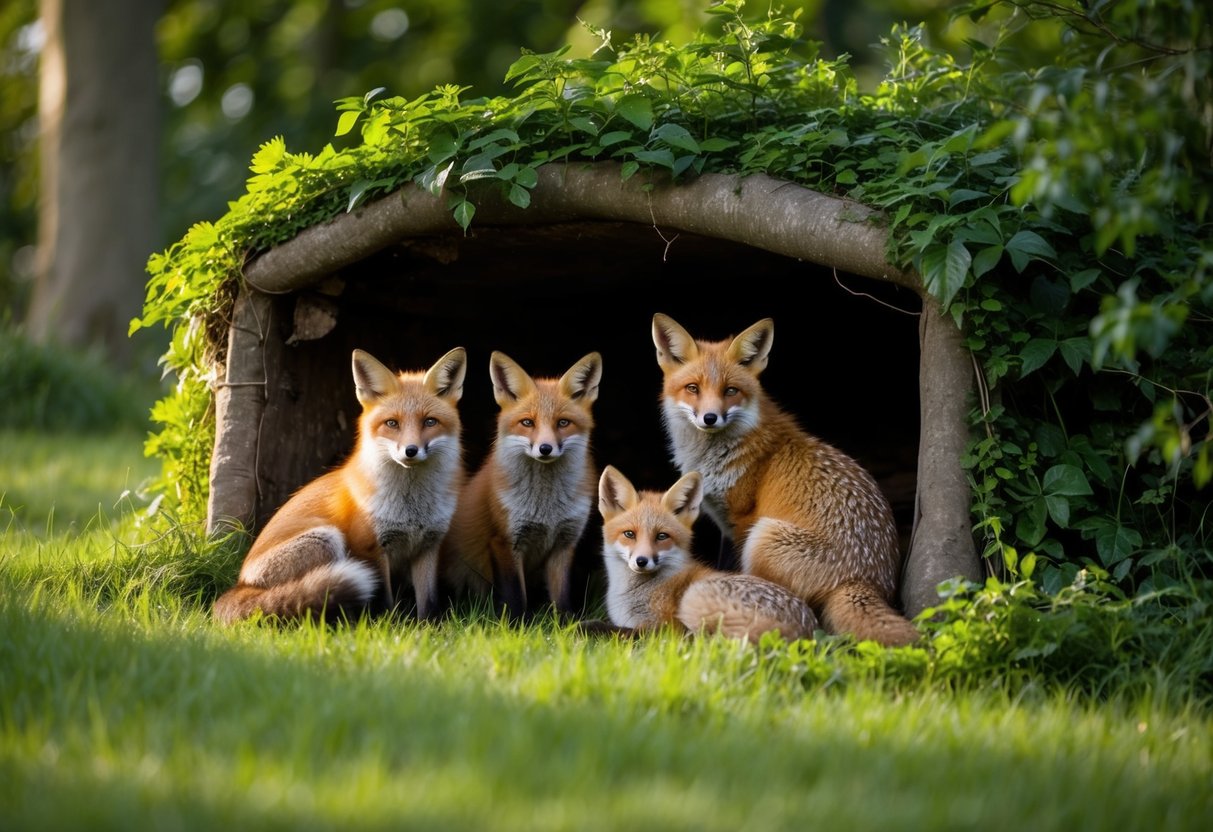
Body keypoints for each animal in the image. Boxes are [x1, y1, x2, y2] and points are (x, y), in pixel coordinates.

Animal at [213, 347, 467, 625]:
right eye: (392, 423)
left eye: (430, 422)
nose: (411, 451)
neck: (412, 508)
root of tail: (241, 583)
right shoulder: (370, 546)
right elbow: (384, 600)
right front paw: (385, 626)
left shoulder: (428, 545)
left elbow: (429, 602)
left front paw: (428, 629)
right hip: (327, 537)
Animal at [440, 350, 602, 620]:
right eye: (528, 423)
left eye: (563, 423)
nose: (545, 448)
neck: (546, 506)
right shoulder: (505, 541)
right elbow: (515, 595)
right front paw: (517, 625)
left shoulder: (565, 544)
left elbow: (562, 595)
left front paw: (567, 624)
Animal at [598, 465, 818, 644]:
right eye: (629, 534)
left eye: (662, 536)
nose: (642, 561)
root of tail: (807, 630)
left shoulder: (661, 626)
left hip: (692, 597)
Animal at [651, 313, 920, 647]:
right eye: (693, 388)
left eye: (730, 391)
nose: (710, 418)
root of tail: (864, 580)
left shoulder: (741, 519)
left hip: (763, 536)